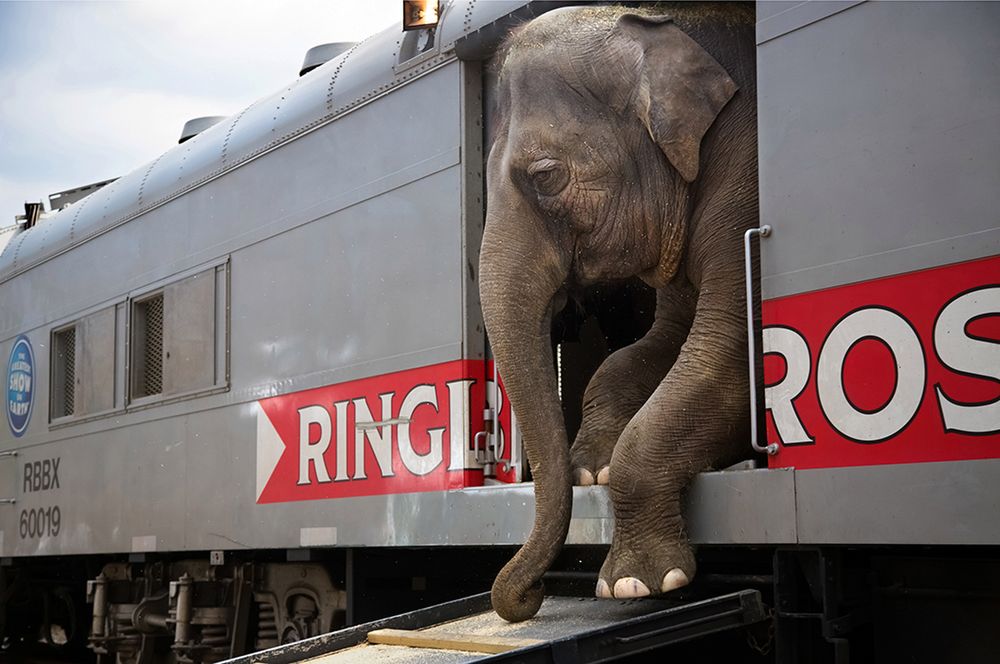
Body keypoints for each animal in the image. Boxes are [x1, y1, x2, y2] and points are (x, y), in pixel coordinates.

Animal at [478, 5, 756, 624]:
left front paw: (635, 584)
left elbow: (722, 357)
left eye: (545, 175)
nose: (533, 595)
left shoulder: (745, 190)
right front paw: (590, 467)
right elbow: (648, 349)